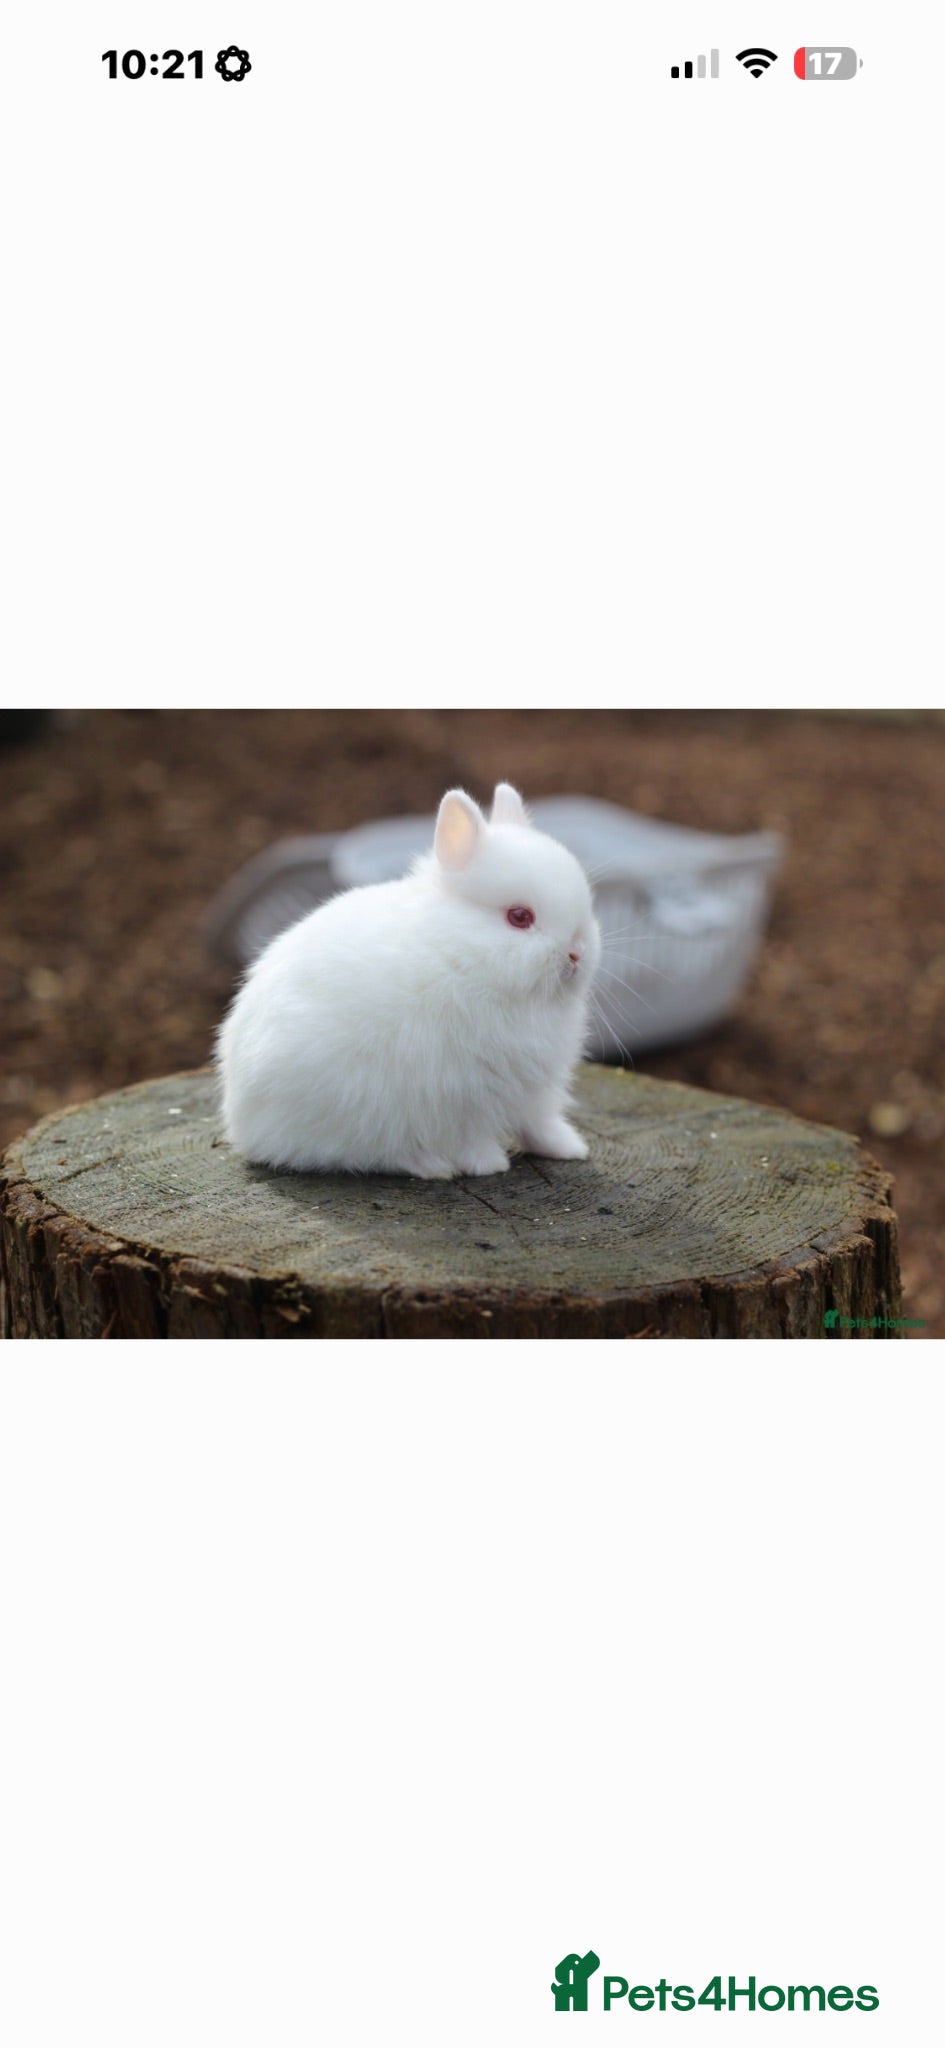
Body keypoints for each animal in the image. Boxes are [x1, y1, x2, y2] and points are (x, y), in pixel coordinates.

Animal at [216, 782, 602, 1178]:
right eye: (519, 916)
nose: (576, 953)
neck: (461, 956)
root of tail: (242, 1126)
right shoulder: (461, 1095)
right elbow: (469, 1137)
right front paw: (489, 1164)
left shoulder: (535, 1093)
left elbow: (539, 1125)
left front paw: (570, 1149)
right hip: (356, 1112)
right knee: (368, 1154)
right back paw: (432, 1166)